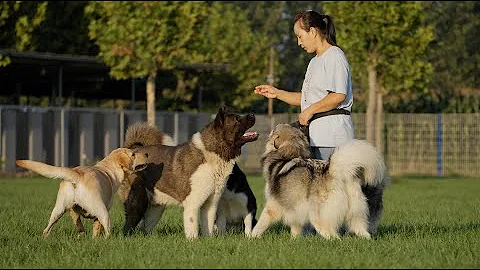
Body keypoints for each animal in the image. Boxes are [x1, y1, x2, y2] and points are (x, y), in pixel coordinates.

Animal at [15, 148, 147, 238]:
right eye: (133, 154)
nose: (146, 154)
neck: (108, 170)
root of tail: (77, 175)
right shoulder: (100, 214)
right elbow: (97, 229)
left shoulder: (73, 211)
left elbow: (82, 225)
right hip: (103, 211)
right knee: (107, 230)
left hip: (59, 209)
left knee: (47, 228)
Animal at [124, 106, 258, 238]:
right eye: (237, 119)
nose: (252, 114)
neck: (211, 155)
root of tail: (134, 150)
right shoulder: (193, 203)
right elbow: (193, 227)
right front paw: (193, 241)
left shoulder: (210, 204)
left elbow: (208, 226)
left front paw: (208, 240)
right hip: (138, 201)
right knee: (129, 224)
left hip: (156, 207)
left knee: (146, 226)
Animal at [249, 123, 388, 239]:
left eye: (274, 130)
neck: (290, 152)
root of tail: (334, 171)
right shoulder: (295, 208)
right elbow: (295, 227)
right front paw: (294, 240)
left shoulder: (273, 205)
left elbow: (261, 222)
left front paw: (251, 236)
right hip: (356, 214)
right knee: (363, 232)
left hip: (318, 217)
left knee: (333, 236)